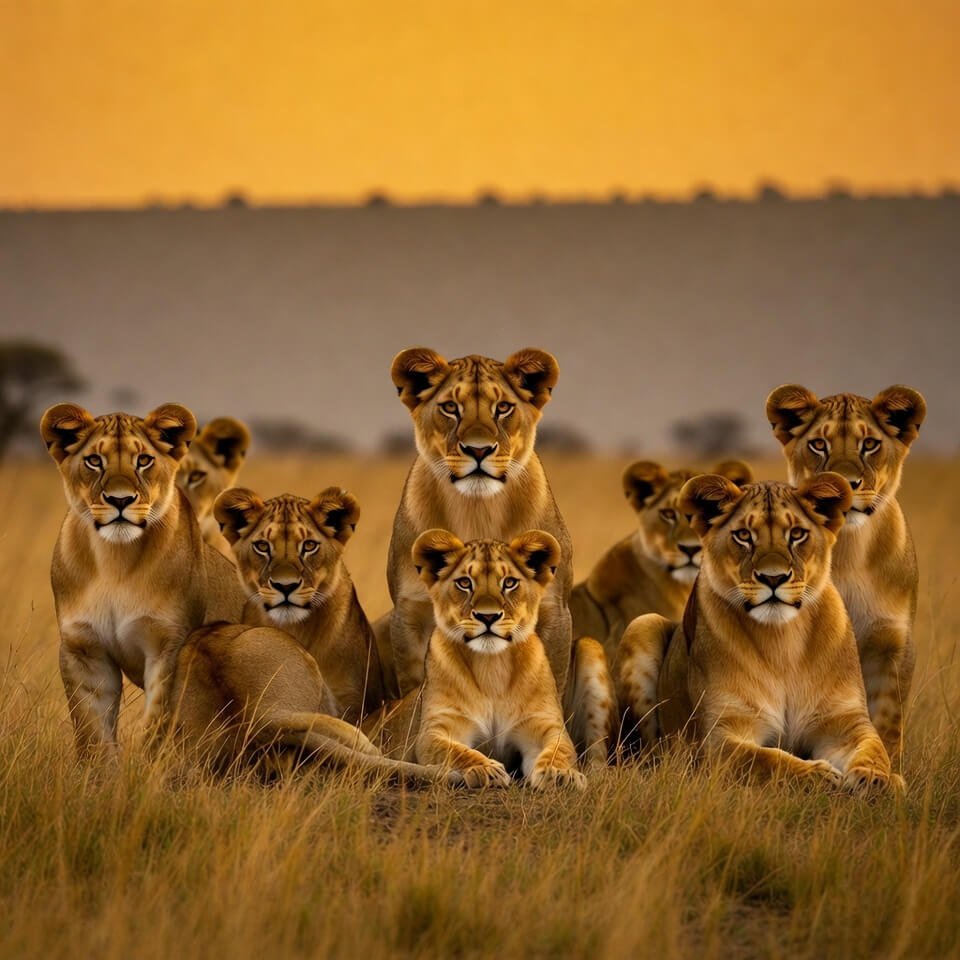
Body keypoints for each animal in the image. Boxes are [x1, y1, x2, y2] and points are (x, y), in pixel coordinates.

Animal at [387, 347, 573, 697]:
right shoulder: (410, 612)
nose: (478, 450)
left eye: (503, 408)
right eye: (450, 408)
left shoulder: (553, 609)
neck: (477, 509)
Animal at [410, 528, 593, 789]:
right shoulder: (436, 730)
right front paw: (485, 769)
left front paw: (560, 774)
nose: (488, 617)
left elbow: (560, 750)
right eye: (464, 583)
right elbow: (455, 752)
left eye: (509, 583)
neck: (491, 667)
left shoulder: (544, 726)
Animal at [616, 473, 898, 793]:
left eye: (797, 534)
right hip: (642, 624)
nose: (773, 578)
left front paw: (873, 778)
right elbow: (766, 760)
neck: (783, 641)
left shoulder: (844, 722)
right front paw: (818, 776)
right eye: (743, 535)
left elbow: (874, 747)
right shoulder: (720, 737)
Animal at [766, 384, 926, 760]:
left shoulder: (892, 643)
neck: (851, 551)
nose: (843, 484)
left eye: (869, 444)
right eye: (818, 444)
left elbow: (887, 722)